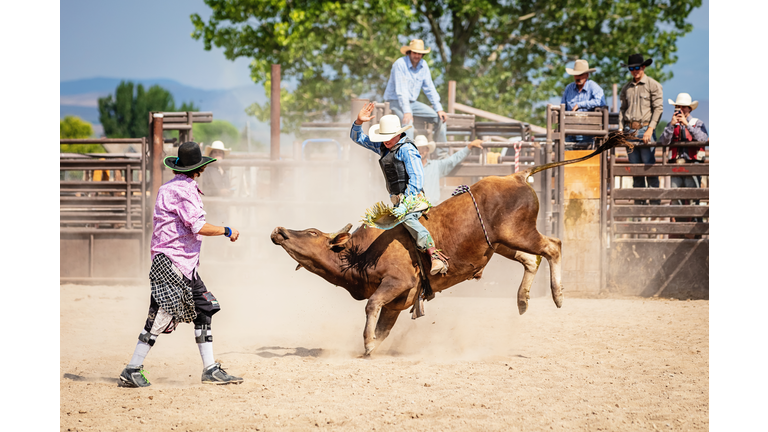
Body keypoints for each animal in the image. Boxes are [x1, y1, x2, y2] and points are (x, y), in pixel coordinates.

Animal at [270, 133, 632, 356]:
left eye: (313, 232)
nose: (279, 231)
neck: (360, 254)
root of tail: (517, 175)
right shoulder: (398, 302)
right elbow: (383, 325)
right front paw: (373, 344)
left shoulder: (396, 282)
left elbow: (371, 306)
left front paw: (368, 344)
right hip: (500, 243)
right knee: (531, 260)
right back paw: (522, 300)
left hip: (518, 233)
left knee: (552, 246)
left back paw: (557, 295)